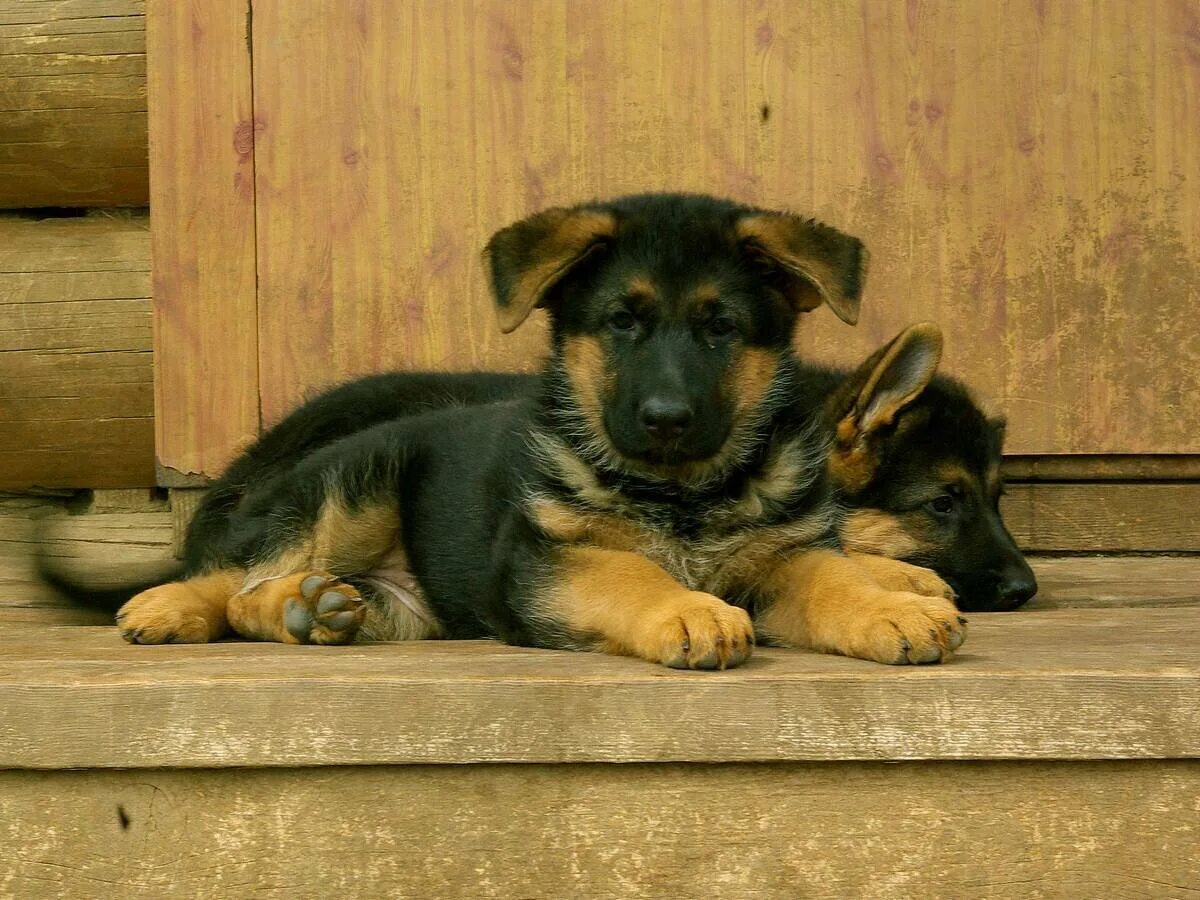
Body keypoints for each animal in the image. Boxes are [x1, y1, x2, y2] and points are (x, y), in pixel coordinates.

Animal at [63, 194, 974, 667]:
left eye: (721, 329)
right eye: (621, 323)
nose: (667, 419)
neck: (681, 494)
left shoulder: (778, 556)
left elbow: (831, 573)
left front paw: (889, 608)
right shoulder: (548, 560)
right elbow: (629, 573)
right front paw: (689, 611)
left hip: (413, 602)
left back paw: (317, 611)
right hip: (356, 483)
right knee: (241, 577)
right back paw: (196, 605)